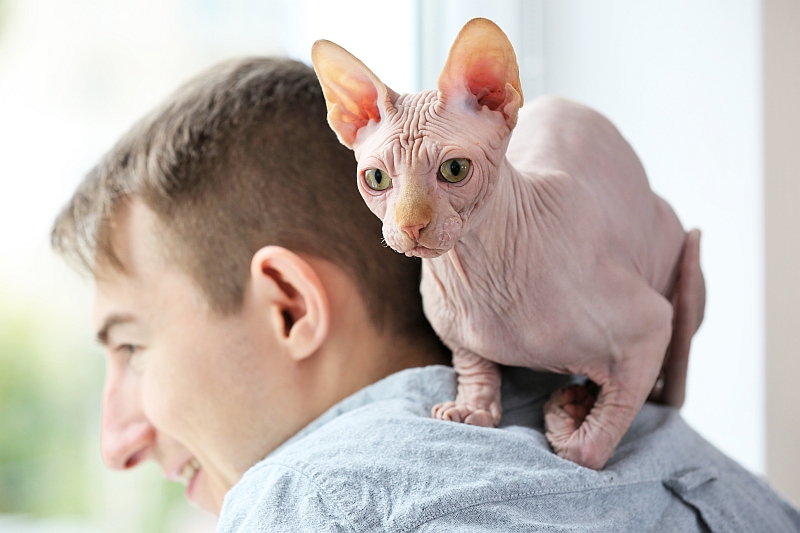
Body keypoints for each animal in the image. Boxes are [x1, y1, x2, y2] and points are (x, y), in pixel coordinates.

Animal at [312, 18, 708, 468]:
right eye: (376, 178)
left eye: (454, 169)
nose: (411, 225)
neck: (480, 282)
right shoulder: (457, 336)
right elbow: (473, 366)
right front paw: (473, 409)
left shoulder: (651, 326)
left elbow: (589, 446)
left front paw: (566, 418)